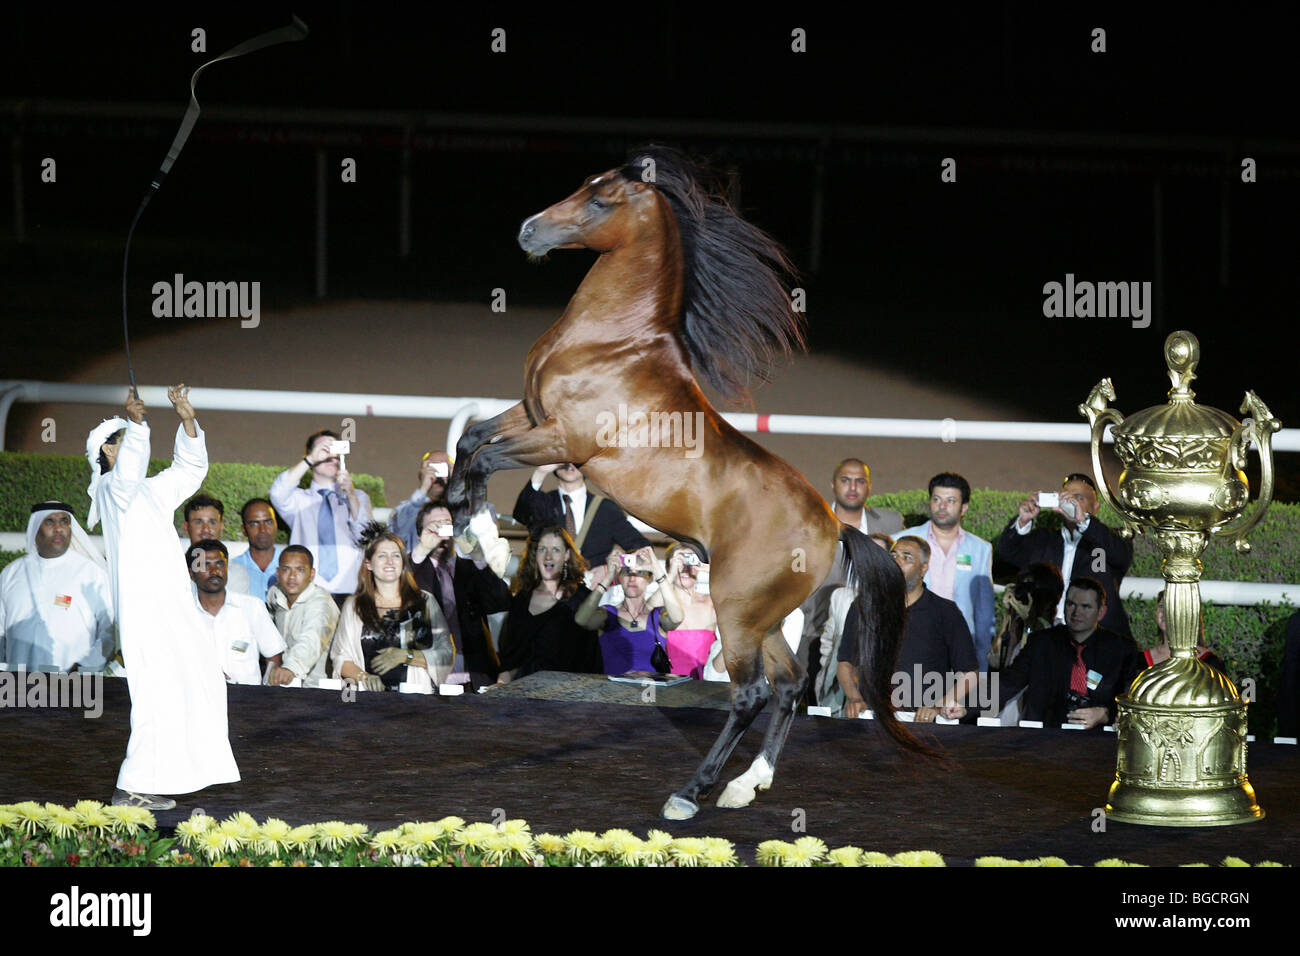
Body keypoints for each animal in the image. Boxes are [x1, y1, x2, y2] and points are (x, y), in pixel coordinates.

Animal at [447, 145, 925, 816]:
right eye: (584, 183)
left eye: (601, 199)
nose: (528, 231)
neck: (615, 344)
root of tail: (834, 527)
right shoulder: (531, 414)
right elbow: (471, 440)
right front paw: (464, 523)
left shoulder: (563, 440)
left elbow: (487, 459)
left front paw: (476, 528)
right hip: (765, 618)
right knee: (790, 685)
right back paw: (747, 785)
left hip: (736, 610)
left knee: (753, 694)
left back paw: (691, 793)